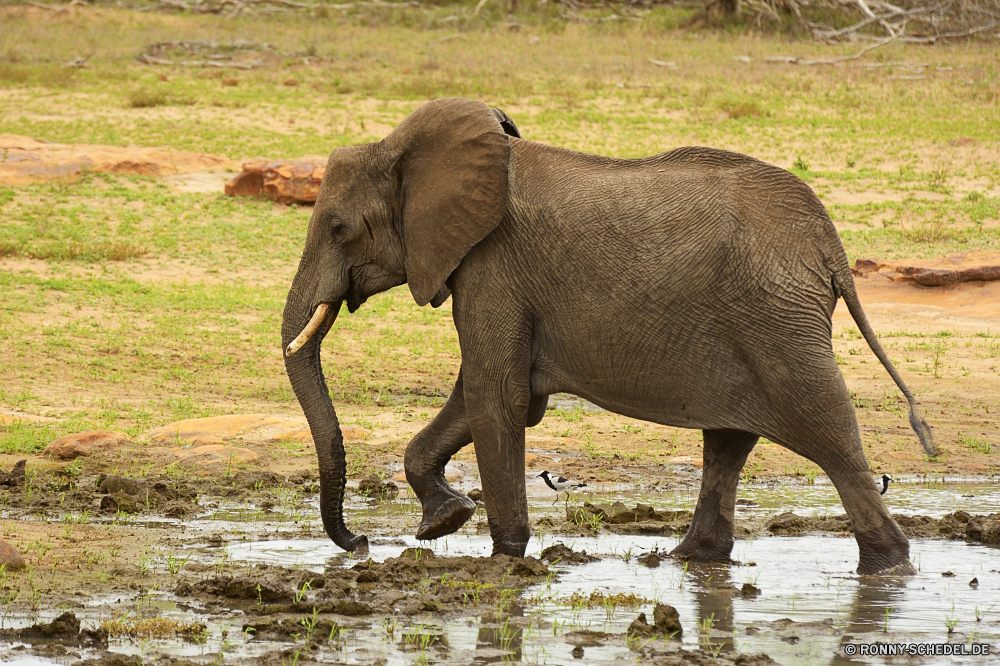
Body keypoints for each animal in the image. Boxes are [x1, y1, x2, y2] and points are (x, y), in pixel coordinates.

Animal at [284, 94, 936, 576]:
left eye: (338, 228)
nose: (361, 542)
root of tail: (832, 248)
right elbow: (488, 394)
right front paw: (443, 522)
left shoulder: (493, 265)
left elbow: (498, 396)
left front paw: (503, 558)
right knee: (728, 439)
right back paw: (689, 559)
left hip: (777, 321)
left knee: (828, 433)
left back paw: (887, 568)